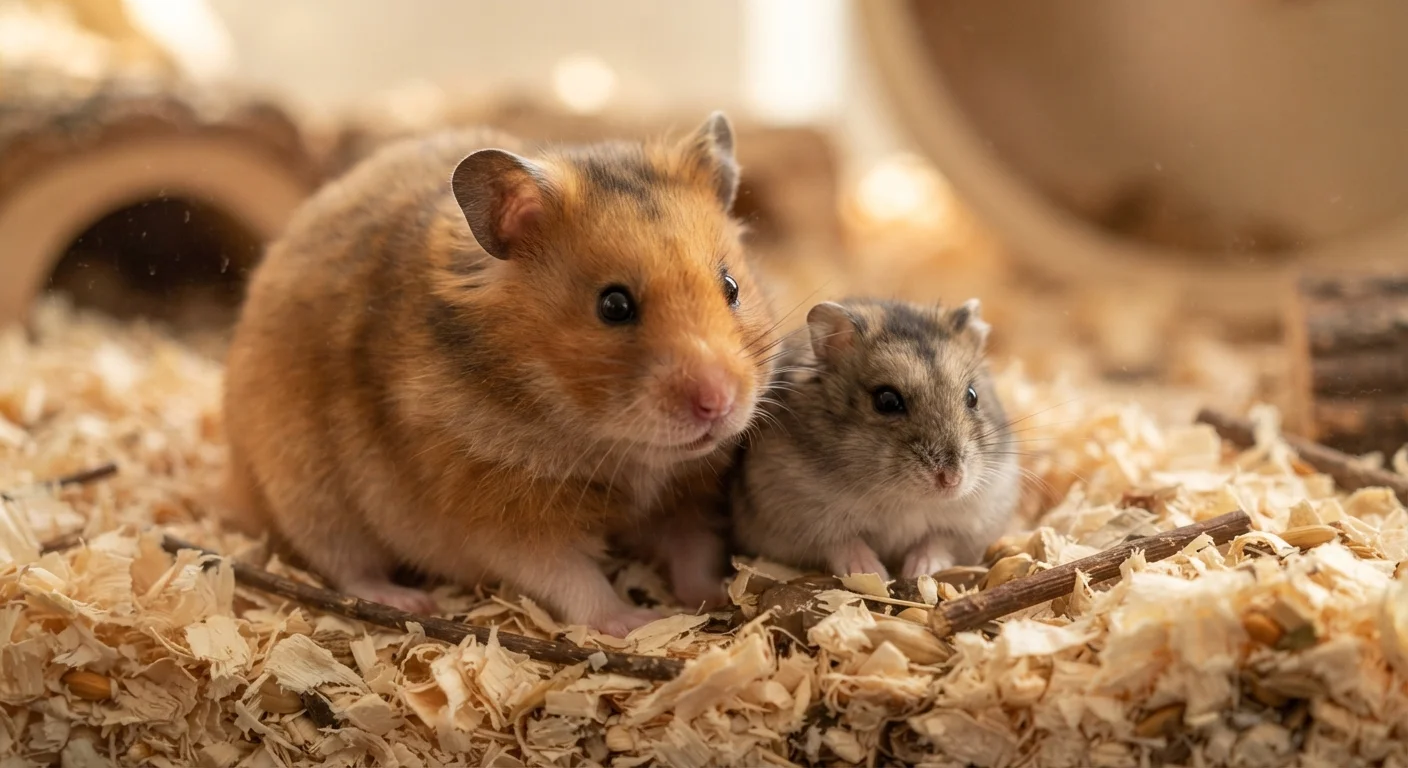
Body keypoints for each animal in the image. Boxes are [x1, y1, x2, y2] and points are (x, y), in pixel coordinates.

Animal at [222, 112, 778, 637]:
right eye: (614, 306)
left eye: (731, 286)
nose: (717, 403)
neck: (618, 448)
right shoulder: (502, 517)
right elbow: (572, 578)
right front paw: (634, 622)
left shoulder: (688, 495)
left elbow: (692, 550)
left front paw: (715, 597)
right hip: (307, 494)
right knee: (345, 567)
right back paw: (408, 601)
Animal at [729, 298, 1019, 580]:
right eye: (887, 401)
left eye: (972, 396)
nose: (952, 480)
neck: (902, 498)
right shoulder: (794, 518)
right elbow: (841, 542)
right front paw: (873, 573)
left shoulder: (977, 519)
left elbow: (938, 540)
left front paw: (920, 572)